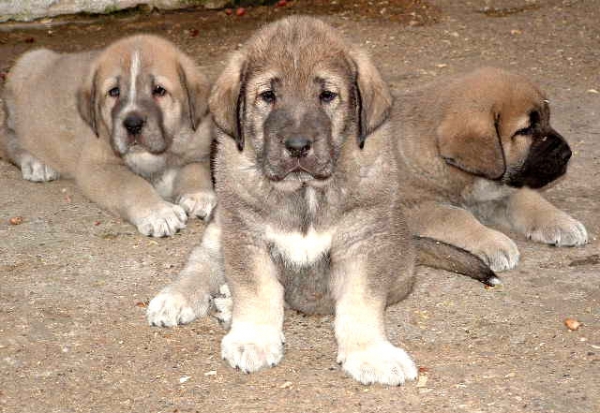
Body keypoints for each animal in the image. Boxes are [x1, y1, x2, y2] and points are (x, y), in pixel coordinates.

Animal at [1, 34, 217, 237]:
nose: (132, 124)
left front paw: (199, 195)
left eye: (159, 90)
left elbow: (196, 170)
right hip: (24, 76)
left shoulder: (199, 152)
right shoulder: (98, 167)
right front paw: (158, 212)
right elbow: (132, 185)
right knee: (8, 140)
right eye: (114, 91)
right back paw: (36, 163)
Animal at [394, 67, 584, 272]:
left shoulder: (497, 190)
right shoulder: (411, 206)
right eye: (525, 130)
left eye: (547, 119)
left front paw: (560, 221)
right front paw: (494, 242)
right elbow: (453, 215)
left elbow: (527, 198)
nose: (567, 153)